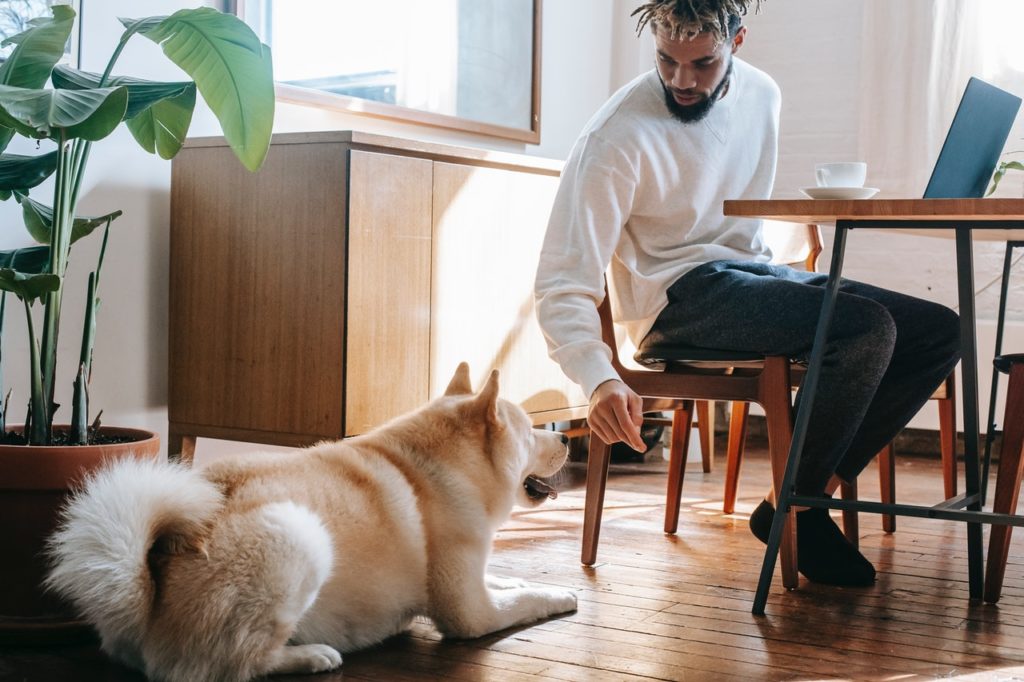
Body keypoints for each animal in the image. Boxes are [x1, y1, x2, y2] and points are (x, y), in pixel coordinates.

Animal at [46, 364, 577, 675]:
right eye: (531, 431)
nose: (567, 438)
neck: (431, 470)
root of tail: (148, 590)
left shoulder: (478, 581)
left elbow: (507, 580)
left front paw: (521, 578)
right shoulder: (471, 614)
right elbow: (528, 600)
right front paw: (561, 595)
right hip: (298, 535)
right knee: (239, 664)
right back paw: (310, 655)